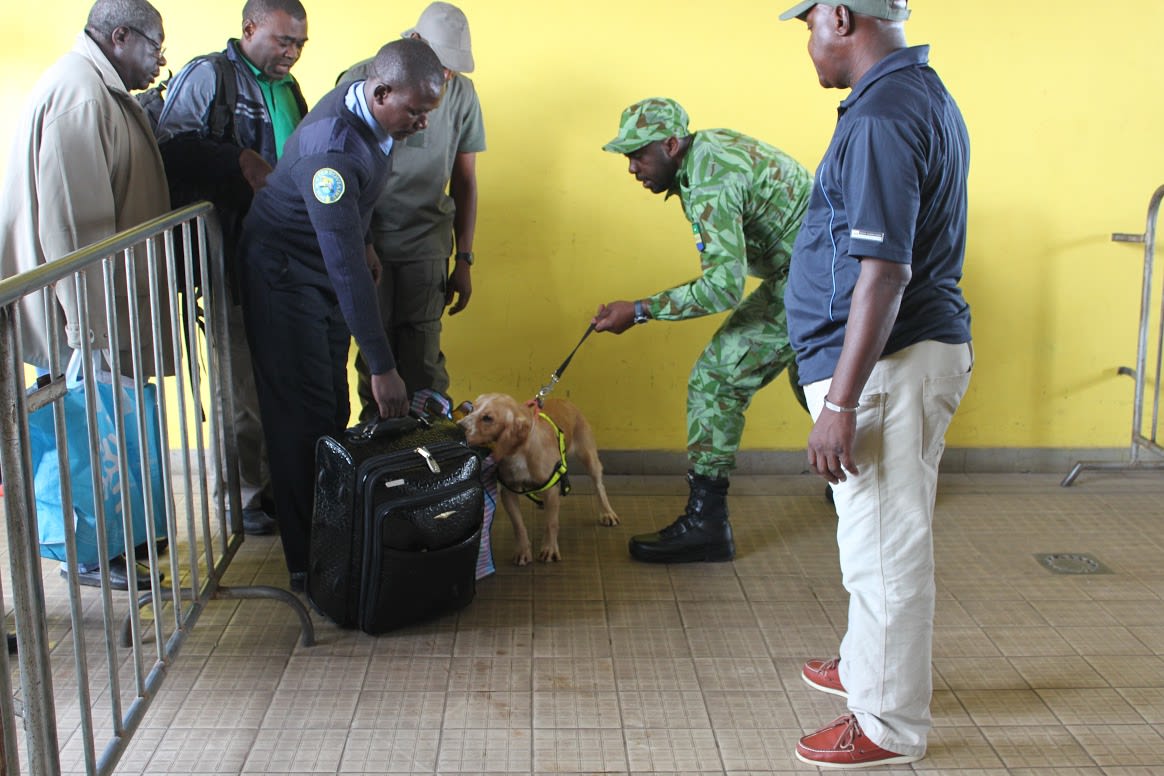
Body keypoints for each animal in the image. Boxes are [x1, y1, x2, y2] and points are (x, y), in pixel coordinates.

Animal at [456, 395, 619, 565]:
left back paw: (607, 513)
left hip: (589, 458)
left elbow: (551, 523)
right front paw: (522, 551)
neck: (520, 452)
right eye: (471, 409)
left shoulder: (551, 491)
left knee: (599, 486)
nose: (457, 427)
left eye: (488, 418)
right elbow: (518, 526)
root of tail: (564, 400)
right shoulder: (508, 492)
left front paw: (549, 549)